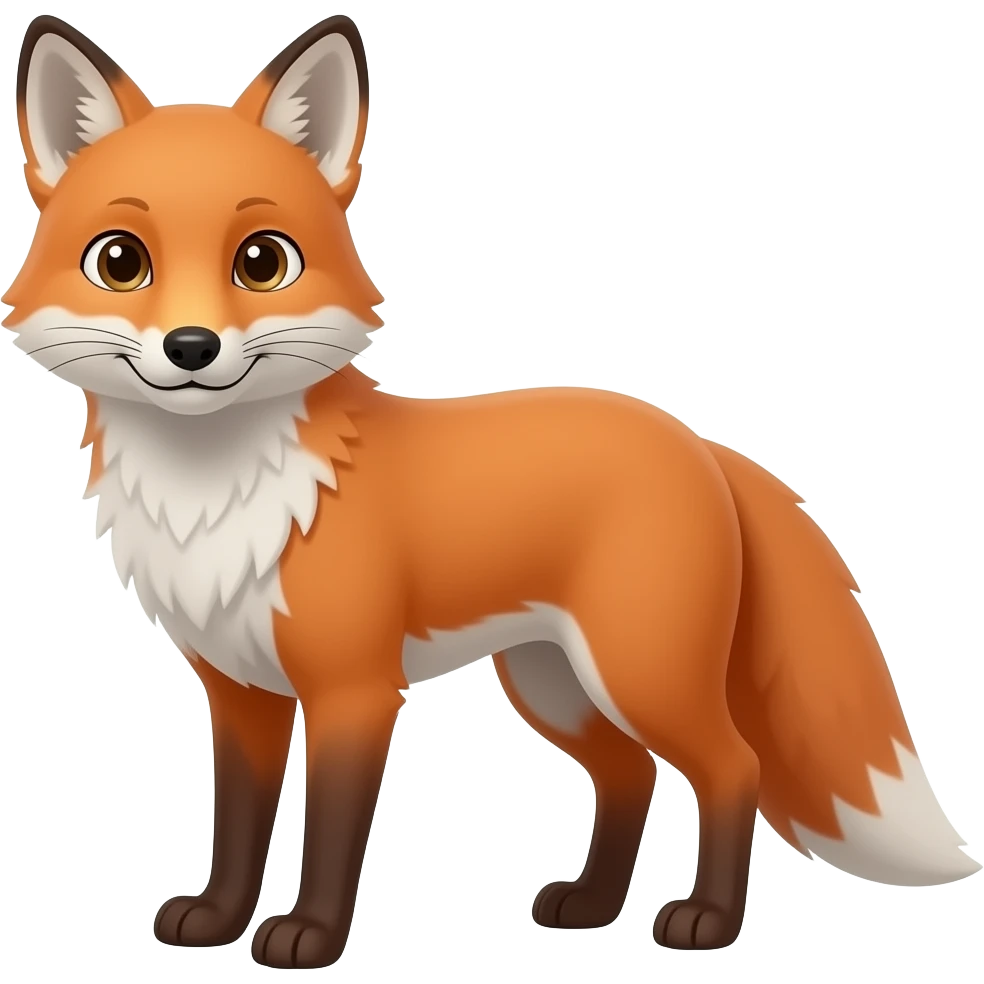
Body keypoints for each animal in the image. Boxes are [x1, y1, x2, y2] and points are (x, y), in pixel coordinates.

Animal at [4, 12, 980, 970]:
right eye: (121, 261)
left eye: (262, 261)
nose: (193, 348)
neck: (216, 492)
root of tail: (697, 442)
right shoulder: (242, 692)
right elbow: (238, 826)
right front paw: (216, 920)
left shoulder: (355, 690)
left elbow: (332, 834)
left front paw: (310, 937)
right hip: (555, 683)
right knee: (630, 774)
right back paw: (591, 906)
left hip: (640, 671)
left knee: (732, 767)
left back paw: (706, 920)